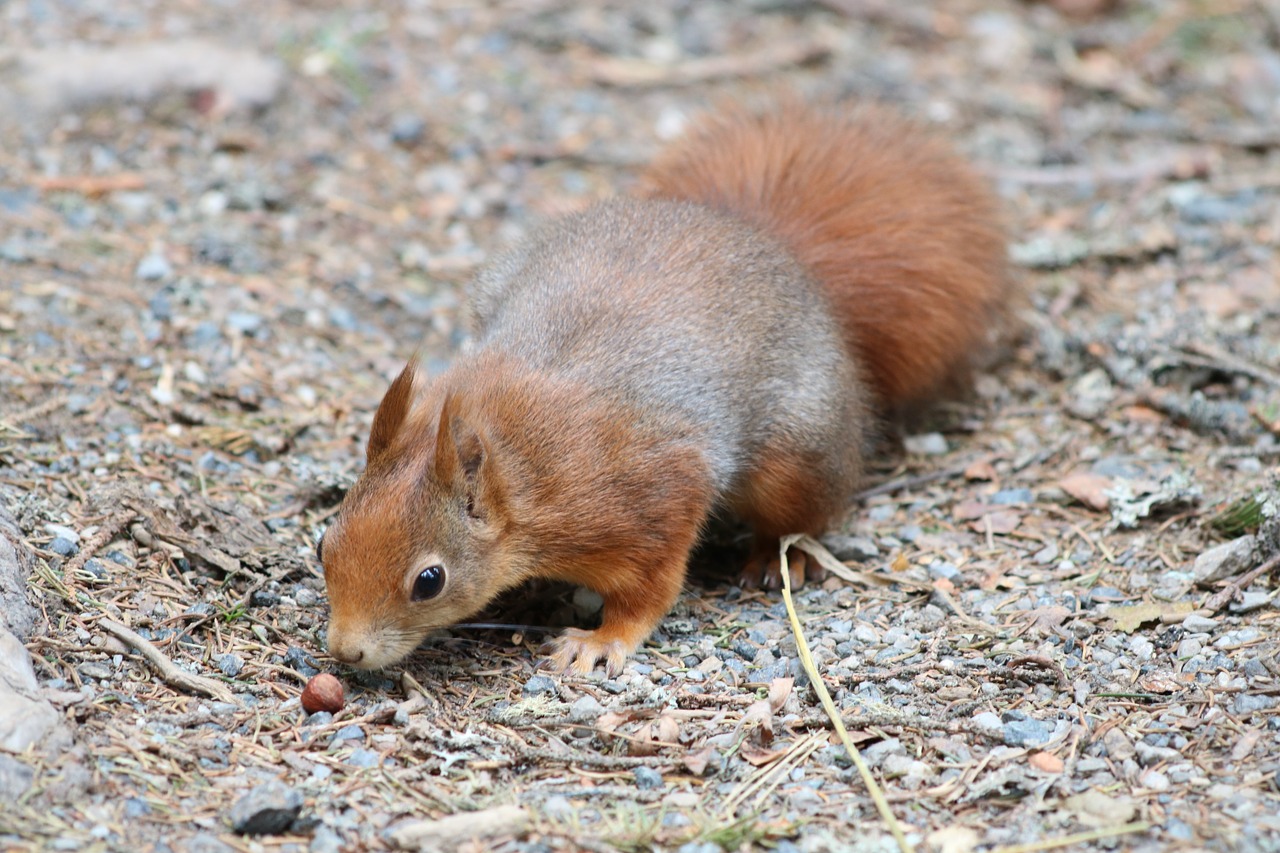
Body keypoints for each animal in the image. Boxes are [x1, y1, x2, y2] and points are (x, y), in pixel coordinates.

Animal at [317, 97, 1008, 671]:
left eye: (428, 580)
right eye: (325, 541)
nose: (346, 652)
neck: (519, 463)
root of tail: (779, 253)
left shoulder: (649, 499)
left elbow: (650, 590)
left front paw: (599, 643)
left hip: (797, 454)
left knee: (806, 513)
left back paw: (778, 556)